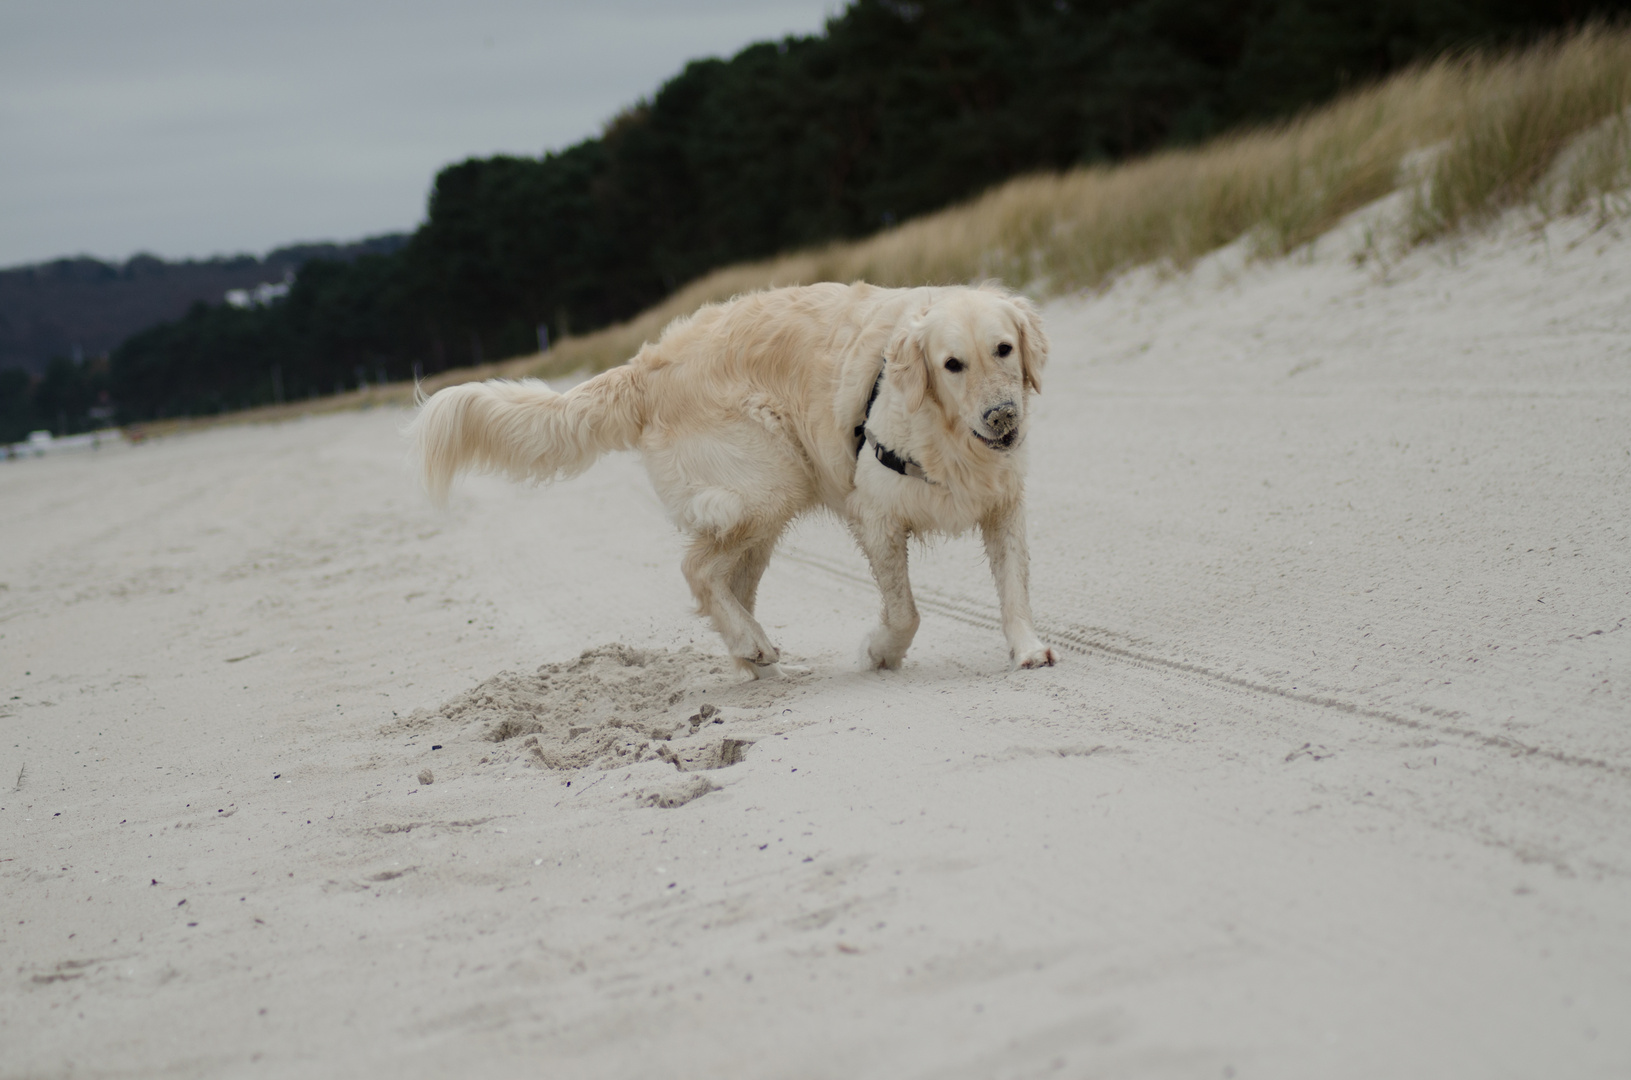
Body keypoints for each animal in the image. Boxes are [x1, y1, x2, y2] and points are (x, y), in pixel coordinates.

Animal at [411, 283, 1056, 681]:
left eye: (1004, 349)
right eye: (952, 365)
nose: (1003, 417)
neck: (946, 433)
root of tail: (646, 366)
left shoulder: (1004, 504)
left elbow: (1015, 588)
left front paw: (1027, 648)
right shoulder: (876, 517)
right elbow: (905, 613)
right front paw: (879, 653)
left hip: (763, 508)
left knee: (724, 584)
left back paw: (757, 657)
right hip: (767, 485)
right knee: (696, 569)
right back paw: (753, 647)